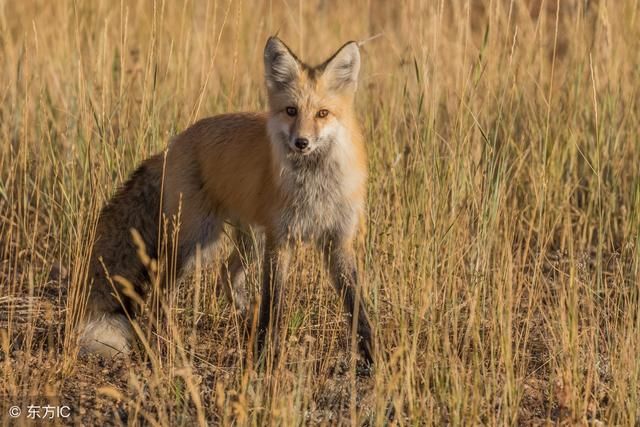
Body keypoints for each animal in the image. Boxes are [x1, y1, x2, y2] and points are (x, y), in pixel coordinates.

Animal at [79, 36, 376, 364]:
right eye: (291, 110)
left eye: (322, 113)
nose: (301, 142)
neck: (314, 188)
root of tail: (172, 145)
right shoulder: (280, 241)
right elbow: (274, 305)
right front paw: (266, 356)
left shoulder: (338, 240)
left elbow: (356, 306)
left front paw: (373, 357)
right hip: (197, 242)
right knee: (159, 292)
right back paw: (162, 346)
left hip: (250, 241)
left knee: (226, 274)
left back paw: (243, 320)